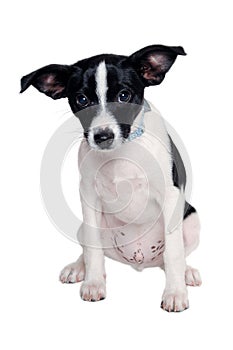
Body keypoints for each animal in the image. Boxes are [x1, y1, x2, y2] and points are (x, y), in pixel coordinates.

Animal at [20, 44, 201, 312]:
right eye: (82, 100)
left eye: (124, 95)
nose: (102, 136)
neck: (122, 152)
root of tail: (140, 260)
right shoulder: (89, 197)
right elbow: (93, 248)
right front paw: (94, 283)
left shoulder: (171, 196)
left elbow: (174, 252)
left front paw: (175, 292)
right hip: (85, 226)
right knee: (89, 247)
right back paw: (78, 268)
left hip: (192, 220)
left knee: (173, 256)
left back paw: (186, 272)